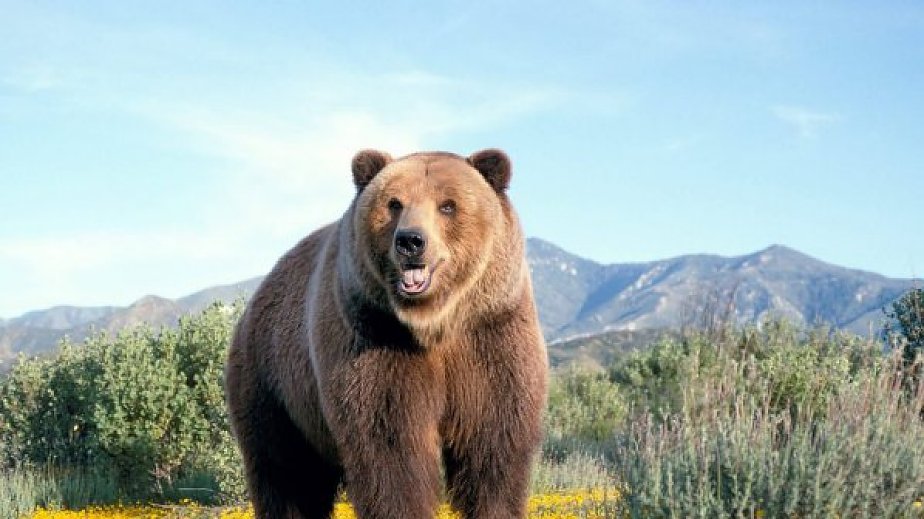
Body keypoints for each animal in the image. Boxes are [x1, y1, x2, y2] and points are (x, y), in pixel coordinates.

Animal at [226, 148, 548, 516]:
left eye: (447, 205)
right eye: (394, 203)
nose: (411, 240)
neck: (434, 324)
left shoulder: (491, 335)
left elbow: (493, 447)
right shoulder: (375, 339)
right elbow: (390, 448)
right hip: (274, 385)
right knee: (285, 473)